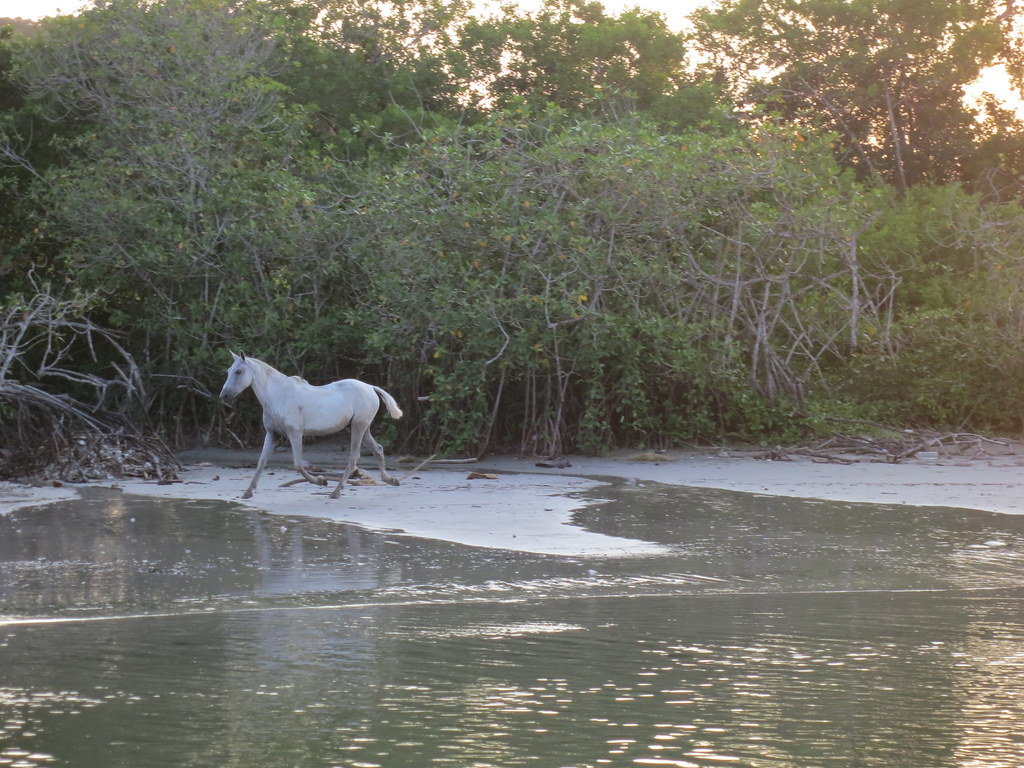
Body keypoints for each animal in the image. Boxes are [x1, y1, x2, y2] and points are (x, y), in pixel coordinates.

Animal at [218, 352, 402, 499]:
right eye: (228, 371)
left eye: (238, 371)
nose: (224, 396)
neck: (279, 396)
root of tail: (370, 387)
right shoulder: (272, 434)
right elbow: (261, 462)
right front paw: (247, 492)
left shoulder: (295, 434)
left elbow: (298, 464)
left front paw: (321, 480)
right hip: (363, 428)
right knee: (378, 449)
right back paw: (391, 480)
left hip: (358, 427)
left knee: (353, 459)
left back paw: (336, 491)